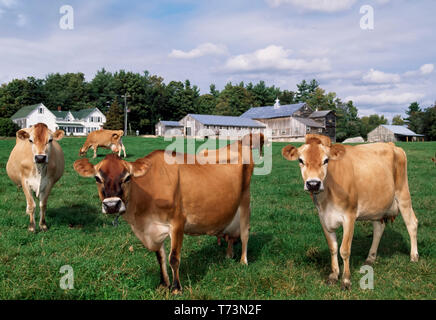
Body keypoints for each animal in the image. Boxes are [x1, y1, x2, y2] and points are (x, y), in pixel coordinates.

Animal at [73, 134, 264, 294]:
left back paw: (243, 261)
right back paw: (228, 255)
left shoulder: (178, 222)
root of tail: (237, 143)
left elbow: (173, 258)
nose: (112, 205)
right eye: (97, 178)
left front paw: (176, 287)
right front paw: (163, 284)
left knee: (245, 233)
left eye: (127, 177)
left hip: (245, 201)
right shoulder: (154, 229)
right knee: (231, 236)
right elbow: (160, 257)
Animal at [282, 134, 418, 288]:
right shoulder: (323, 217)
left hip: (403, 194)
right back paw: (370, 257)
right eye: (300, 160)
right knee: (379, 228)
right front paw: (334, 275)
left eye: (326, 160)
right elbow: (333, 248)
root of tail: (391, 145)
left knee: (412, 223)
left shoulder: (349, 216)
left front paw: (346, 279)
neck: (327, 196)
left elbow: (344, 250)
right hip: (377, 206)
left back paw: (414, 256)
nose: (313, 184)